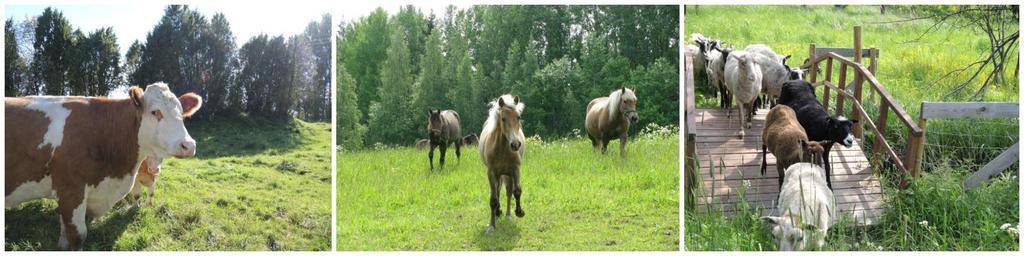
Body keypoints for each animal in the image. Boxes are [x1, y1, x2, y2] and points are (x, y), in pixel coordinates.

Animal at [4, 82, 199, 249]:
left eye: (182, 114)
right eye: (155, 112)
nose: (189, 145)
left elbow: (64, 231)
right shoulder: (71, 190)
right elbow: (78, 235)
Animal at [479, 94, 528, 234]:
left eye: (518, 117)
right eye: (503, 118)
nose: (515, 144)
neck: (502, 149)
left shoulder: (515, 170)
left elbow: (516, 191)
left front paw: (519, 212)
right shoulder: (491, 173)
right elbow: (493, 198)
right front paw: (491, 226)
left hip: (507, 174)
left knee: (508, 191)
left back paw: (507, 214)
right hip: (499, 174)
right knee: (498, 190)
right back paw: (498, 212)